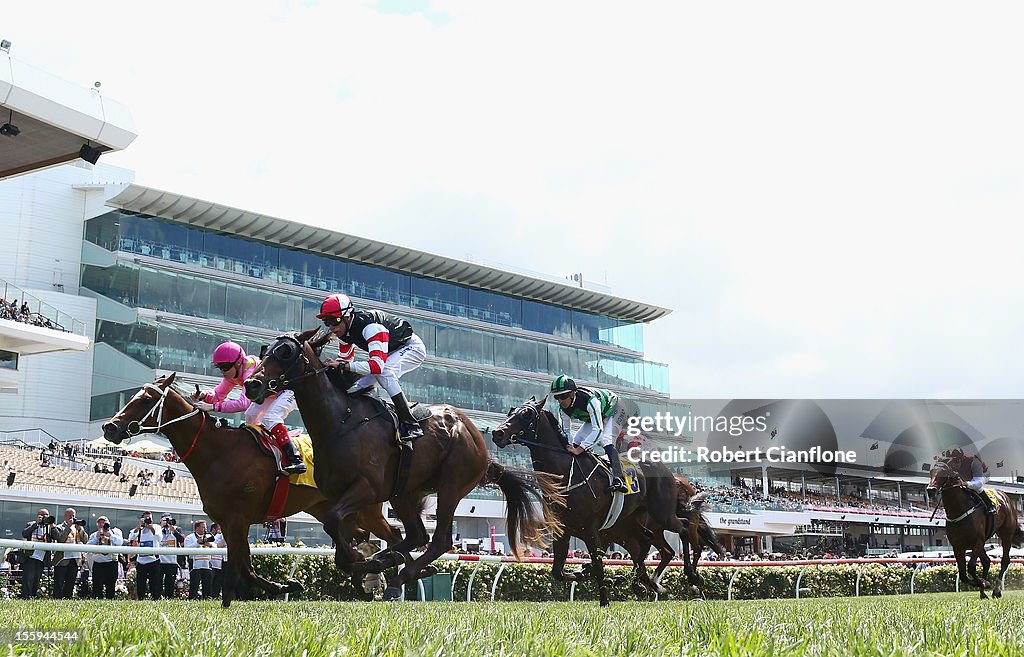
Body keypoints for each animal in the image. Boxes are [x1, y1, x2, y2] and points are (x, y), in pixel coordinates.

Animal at [101, 370, 399, 605]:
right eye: (132, 396)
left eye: (146, 400)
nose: (109, 427)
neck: (219, 453)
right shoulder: (228, 522)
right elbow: (244, 566)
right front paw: (284, 585)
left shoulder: (237, 520)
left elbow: (239, 568)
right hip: (331, 508)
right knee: (361, 536)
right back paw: (367, 578)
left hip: (367, 506)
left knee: (391, 535)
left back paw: (388, 581)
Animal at [243, 331, 565, 597]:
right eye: (265, 350)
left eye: (285, 351)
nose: (251, 384)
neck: (340, 421)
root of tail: (481, 444)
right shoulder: (339, 496)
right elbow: (341, 541)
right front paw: (366, 564)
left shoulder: (367, 489)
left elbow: (337, 527)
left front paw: (366, 564)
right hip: (405, 493)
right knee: (415, 535)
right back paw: (394, 563)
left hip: (451, 484)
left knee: (438, 540)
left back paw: (399, 575)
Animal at [491, 392, 724, 605]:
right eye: (511, 411)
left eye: (527, 414)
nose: (497, 433)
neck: (566, 474)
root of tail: (667, 471)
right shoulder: (563, 532)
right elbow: (558, 571)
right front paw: (593, 575)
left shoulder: (591, 530)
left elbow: (598, 565)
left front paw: (604, 600)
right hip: (634, 524)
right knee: (655, 545)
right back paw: (651, 583)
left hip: (662, 514)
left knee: (684, 528)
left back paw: (690, 576)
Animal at [929, 452, 1024, 597]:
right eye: (931, 472)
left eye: (943, 472)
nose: (930, 490)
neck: (959, 509)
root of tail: (1006, 497)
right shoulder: (958, 546)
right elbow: (963, 574)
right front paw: (983, 583)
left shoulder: (977, 541)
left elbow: (971, 567)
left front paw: (985, 583)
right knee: (987, 561)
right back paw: (983, 593)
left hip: (1006, 534)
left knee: (1004, 560)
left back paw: (996, 590)